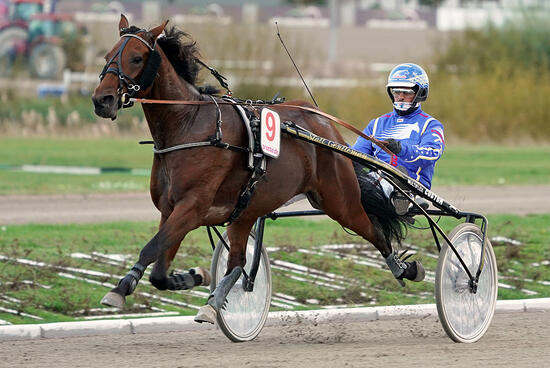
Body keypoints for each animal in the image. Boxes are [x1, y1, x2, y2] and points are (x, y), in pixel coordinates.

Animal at [92, 15, 424, 324]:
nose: (101, 100)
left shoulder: (192, 207)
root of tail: (325, 126)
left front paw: (119, 289)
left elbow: (152, 248)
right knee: (238, 261)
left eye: (136, 57)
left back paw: (404, 268)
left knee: (375, 231)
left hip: (339, 201)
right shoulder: (170, 209)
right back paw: (214, 303)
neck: (189, 126)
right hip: (247, 210)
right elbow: (160, 271)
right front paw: (194, 275)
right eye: (107, 55)